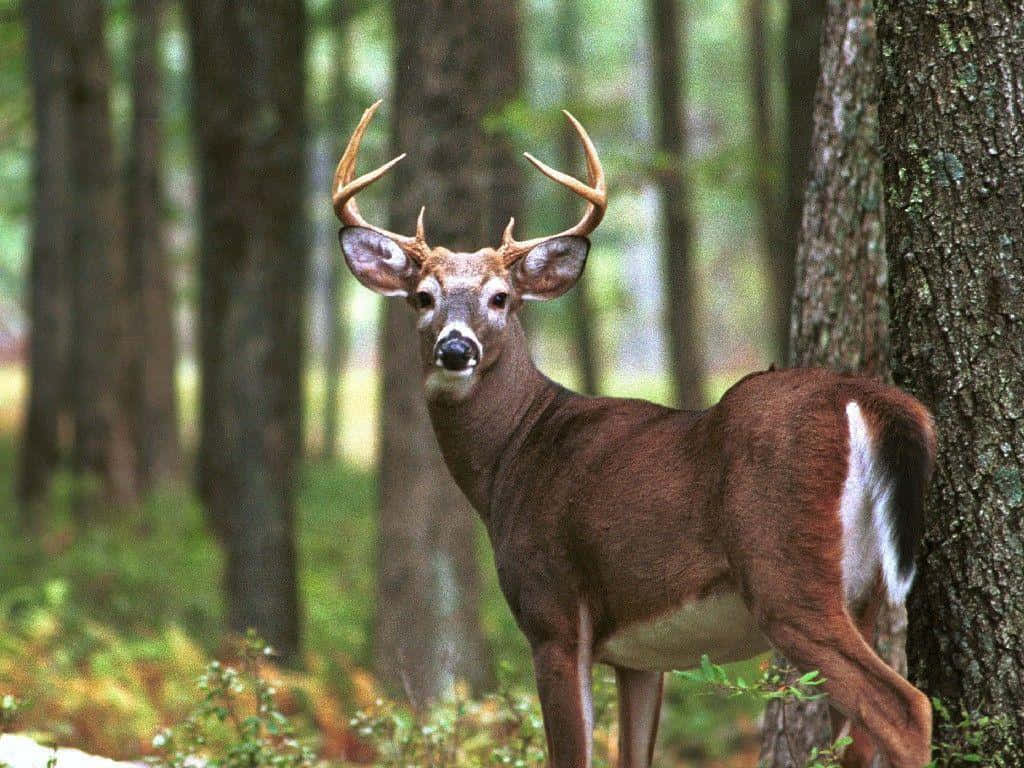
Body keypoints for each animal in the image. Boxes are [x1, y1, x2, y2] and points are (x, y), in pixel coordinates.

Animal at [333, 99, 937, 765]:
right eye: (422, 297)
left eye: (500, 298)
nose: (456, 348)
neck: (514, 455)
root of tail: (866, 397)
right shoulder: (639, 657)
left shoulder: (552, 612)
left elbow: (571, 754)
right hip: (866, 594)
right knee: (860, 730)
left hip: (788, 572)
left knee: (905, 708)